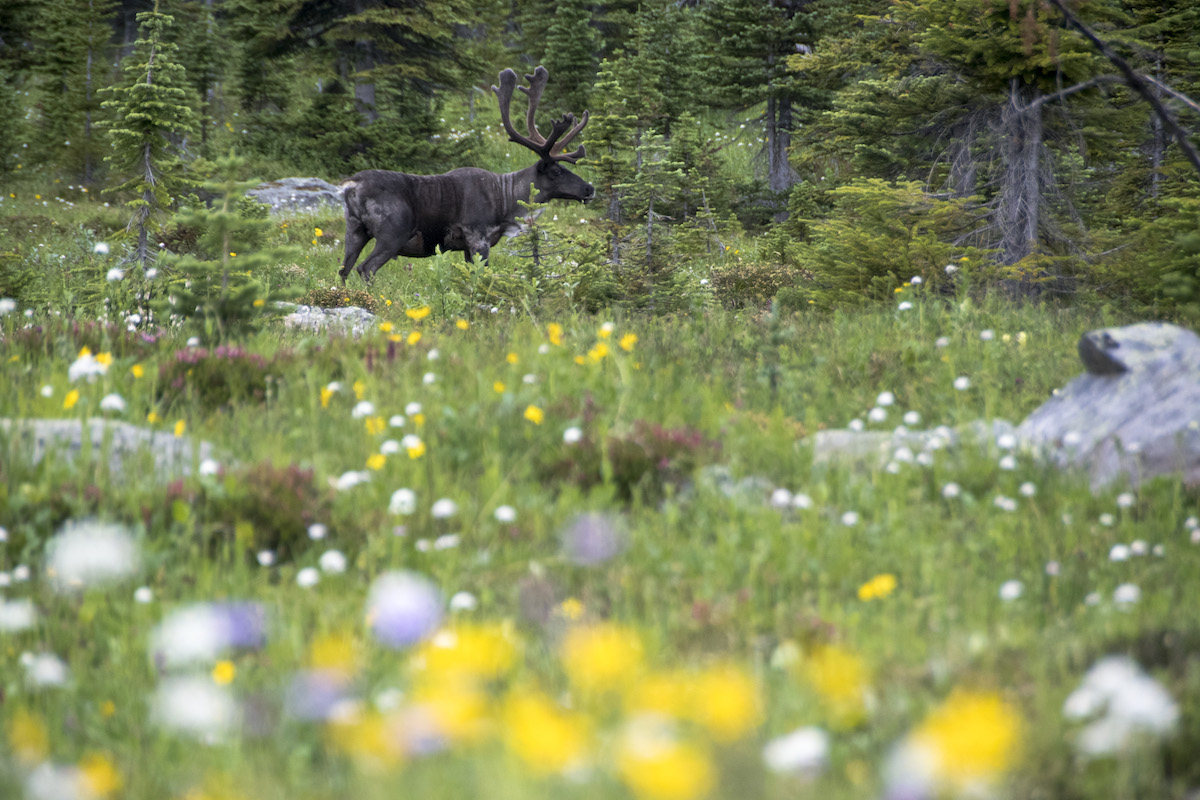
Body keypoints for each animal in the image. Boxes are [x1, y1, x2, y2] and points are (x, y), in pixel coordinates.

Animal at [338, 66, 594, 285]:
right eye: (556, 171)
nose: (590, 188)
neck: (505, 201)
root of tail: (351, 185)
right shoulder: (478, 238)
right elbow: (483, 276)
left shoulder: (467, 247)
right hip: (392, 233)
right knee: (365, 268)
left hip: (354, 230)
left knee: (343, 269)